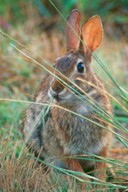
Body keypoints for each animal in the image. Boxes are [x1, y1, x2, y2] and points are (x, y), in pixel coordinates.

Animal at [23, 9, 112, 187]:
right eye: (55, 65)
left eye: (80, 67)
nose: (56, 90)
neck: (80, 102)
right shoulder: (65, 150)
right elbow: (79, 173)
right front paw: (88, 187)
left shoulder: (102, 145)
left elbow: (100, 168)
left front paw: (101, 185)